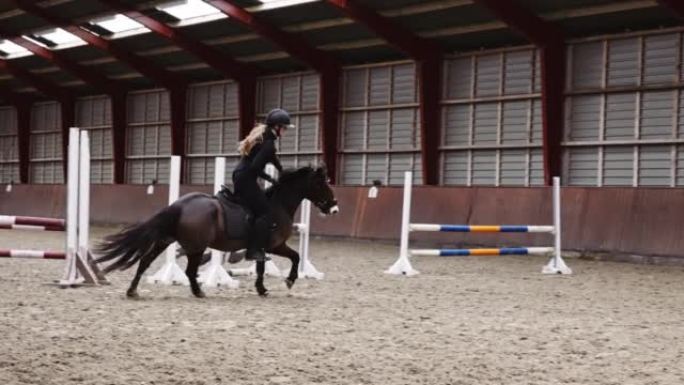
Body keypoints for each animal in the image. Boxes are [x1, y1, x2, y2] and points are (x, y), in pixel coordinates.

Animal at [95, 166, 340, 296]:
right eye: (322, 184)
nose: (334, 208)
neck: (277, 204)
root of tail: (180, 204)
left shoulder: (263, 248)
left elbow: (262, 267)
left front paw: (261, 288)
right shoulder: (274, 246)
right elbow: (295, 257)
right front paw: (289, 280)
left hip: (167, 240)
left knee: (146, 261)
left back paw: (132, 291)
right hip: (196, 247)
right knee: (189, 271)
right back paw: (198, 292)